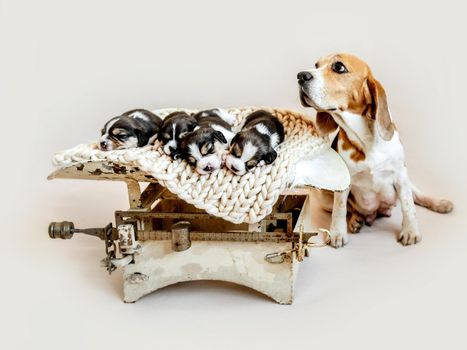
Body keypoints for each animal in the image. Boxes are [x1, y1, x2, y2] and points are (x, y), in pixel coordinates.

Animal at [298, 53, 456, 247]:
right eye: (316, 65)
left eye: (339, 67)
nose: (300, 76)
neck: (365, 138)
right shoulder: (343, 186)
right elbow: (340, 209)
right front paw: (337, 232)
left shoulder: (400, 175)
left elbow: (408, 206)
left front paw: (410, 231)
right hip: (323, 196)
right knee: (350, 209)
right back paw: (356, 220)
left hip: (406, 179)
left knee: (417, 196)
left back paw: (440, 203)